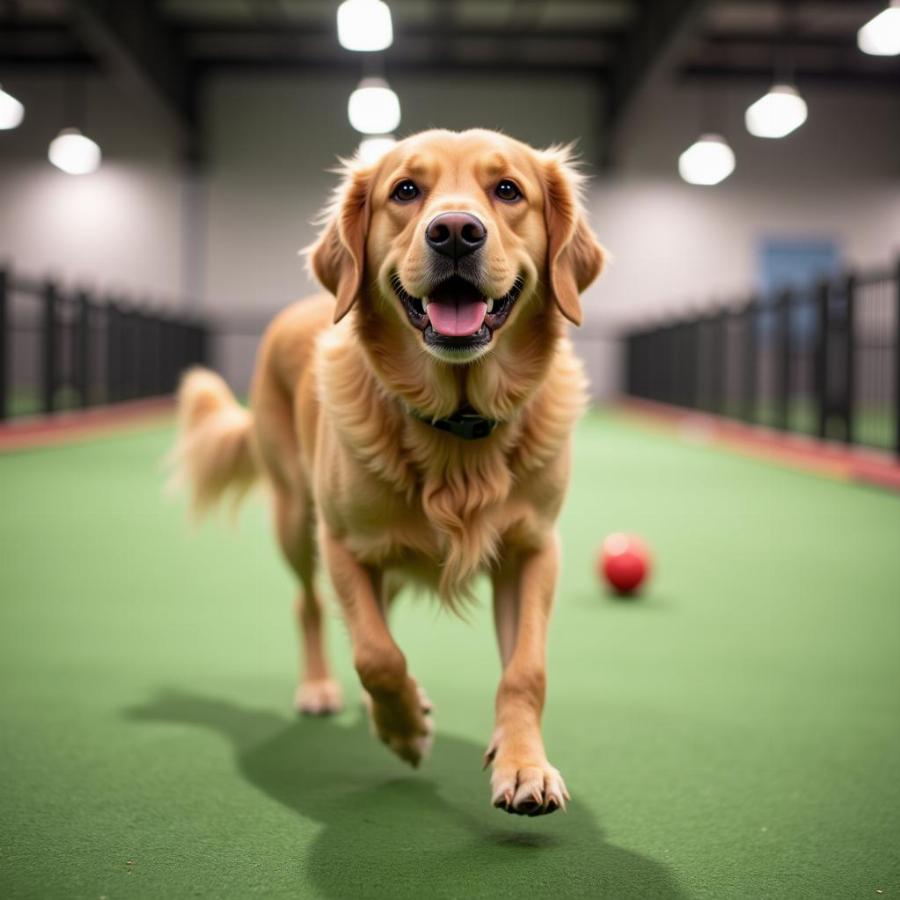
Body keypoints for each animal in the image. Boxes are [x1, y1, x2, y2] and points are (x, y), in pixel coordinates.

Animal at [171, 128, 604, 816]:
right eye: (405, 190)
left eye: (508, 190)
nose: (455, 232)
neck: (456, 424)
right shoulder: (344, 543)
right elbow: (375, 654)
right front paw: (403, 731)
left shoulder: (533, 548)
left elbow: (525, 670)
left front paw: (523, 765)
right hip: (295, 518)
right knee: (311, 607)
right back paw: (324, 689)